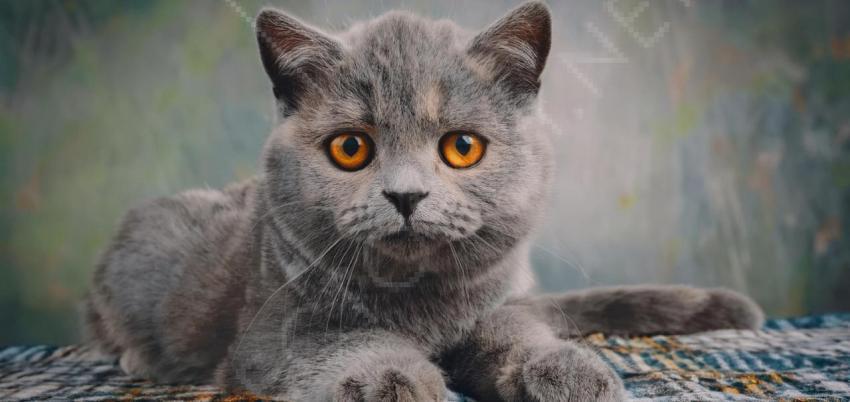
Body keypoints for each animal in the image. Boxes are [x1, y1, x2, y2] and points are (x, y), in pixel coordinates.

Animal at [84, 1, 760, 400]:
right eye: (351, 148)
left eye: (462, 147)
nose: (405, 193)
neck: (422, 306)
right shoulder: (276, 331)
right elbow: (345, 342)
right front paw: (391, 379)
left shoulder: (501, 301)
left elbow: (517, 329)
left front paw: (566, 372)